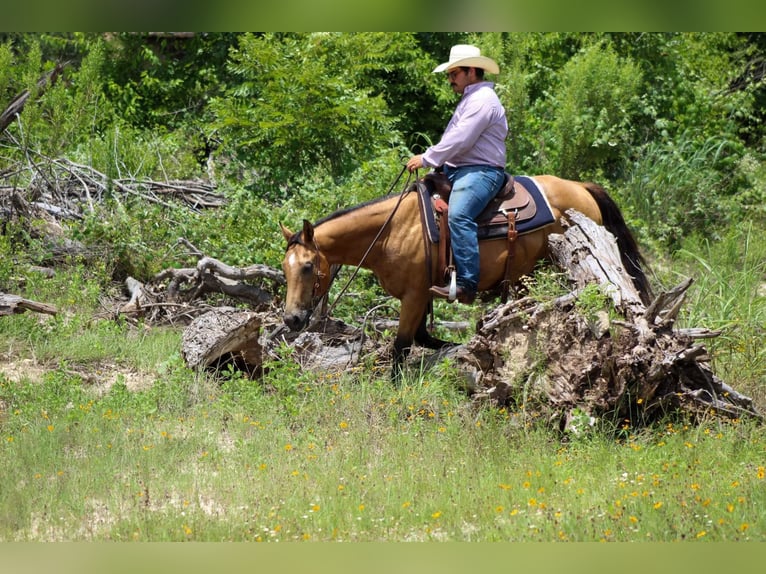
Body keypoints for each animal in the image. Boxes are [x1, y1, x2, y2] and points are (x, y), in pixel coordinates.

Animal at [280, 174, 652, 376]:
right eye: (285, 268)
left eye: (308, 266)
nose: (292, 319)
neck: (390, 231)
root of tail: (581, 188)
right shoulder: (423, 296)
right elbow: (424, 339)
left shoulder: (414, 295)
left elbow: (402, 346)